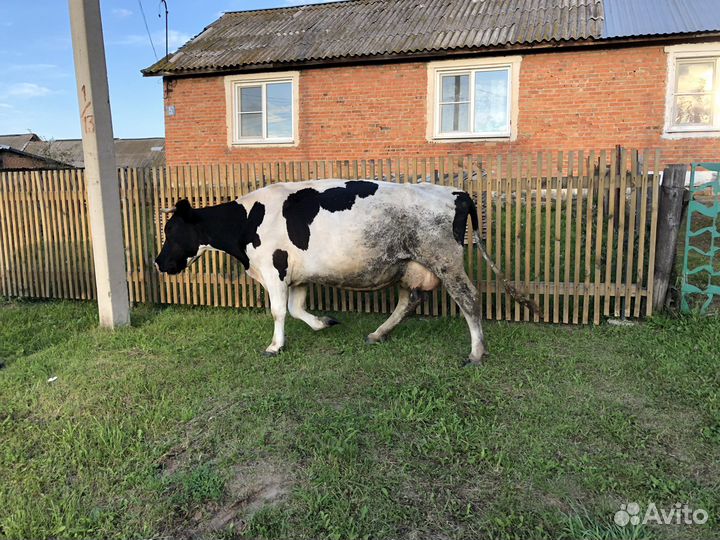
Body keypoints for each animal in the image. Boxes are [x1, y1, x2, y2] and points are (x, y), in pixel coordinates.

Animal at [155, 179, 534, 364]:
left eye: (171, 231)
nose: (159, 262)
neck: (248, 220)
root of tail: (455, 192)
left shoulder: (275, 269)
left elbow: (279, 311)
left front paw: (275, 346)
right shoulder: (298, 275)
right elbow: (296, 308)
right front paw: (324, 323)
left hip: (445, 260)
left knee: (468, 299)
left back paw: (476, 353)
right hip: (410, 264)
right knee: (409, 301)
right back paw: (379, 333)